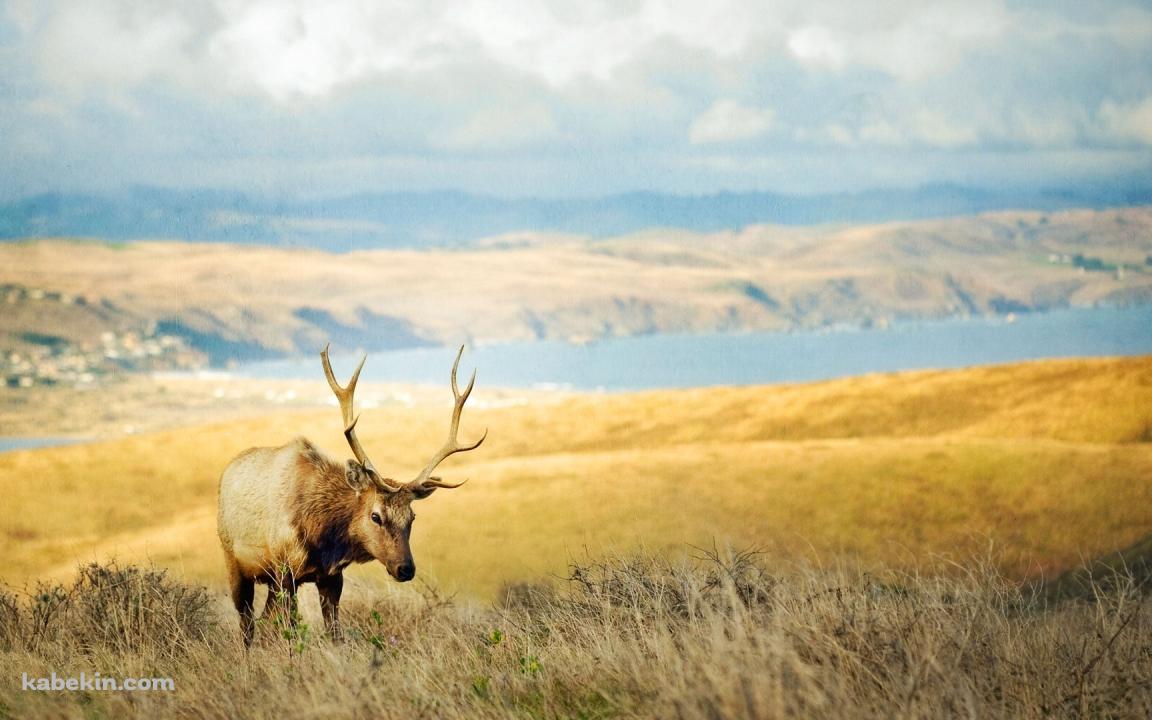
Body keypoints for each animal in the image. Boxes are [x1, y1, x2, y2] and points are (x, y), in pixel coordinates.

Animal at [216, 345, 486, 645]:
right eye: (376, 516)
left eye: (412, 517)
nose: (406, 568)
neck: (322, 536)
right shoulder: (286, 572)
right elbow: (291, 633)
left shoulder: (332, 577)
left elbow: (335, 634)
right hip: (234, 561)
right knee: (247, 624)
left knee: (262, 619)